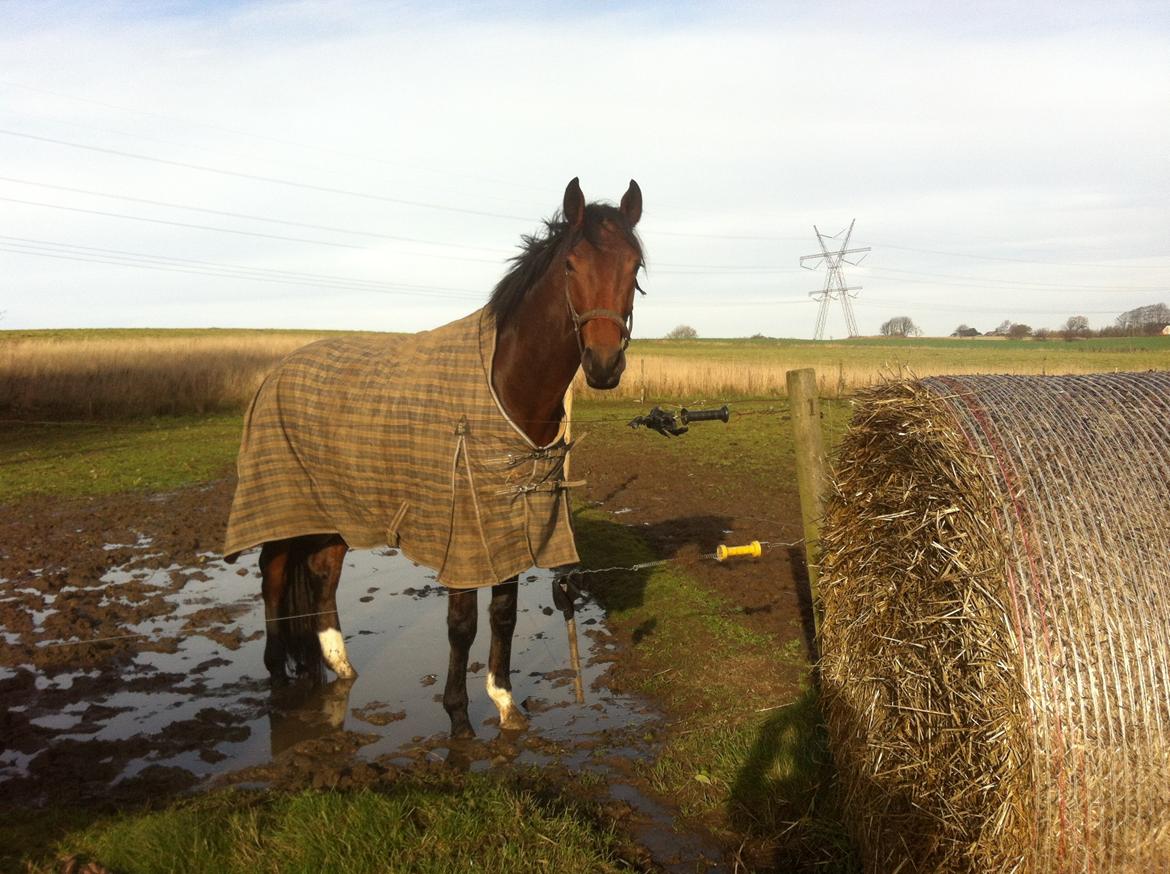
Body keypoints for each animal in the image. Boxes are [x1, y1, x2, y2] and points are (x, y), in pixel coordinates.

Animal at [225, 177, 650, 739]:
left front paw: (505, 702)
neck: (505, 386)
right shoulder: (464, 530)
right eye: (570, 264)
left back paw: (340, 666)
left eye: (634, 266)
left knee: (322, 572)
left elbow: (504, 614)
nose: (603, 365)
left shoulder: (509, 521)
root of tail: (278, 369)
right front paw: (459, 717)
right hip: (282, 503)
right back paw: (277, 671)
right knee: (272, 573)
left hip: (336, 507)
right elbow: (462, 624)